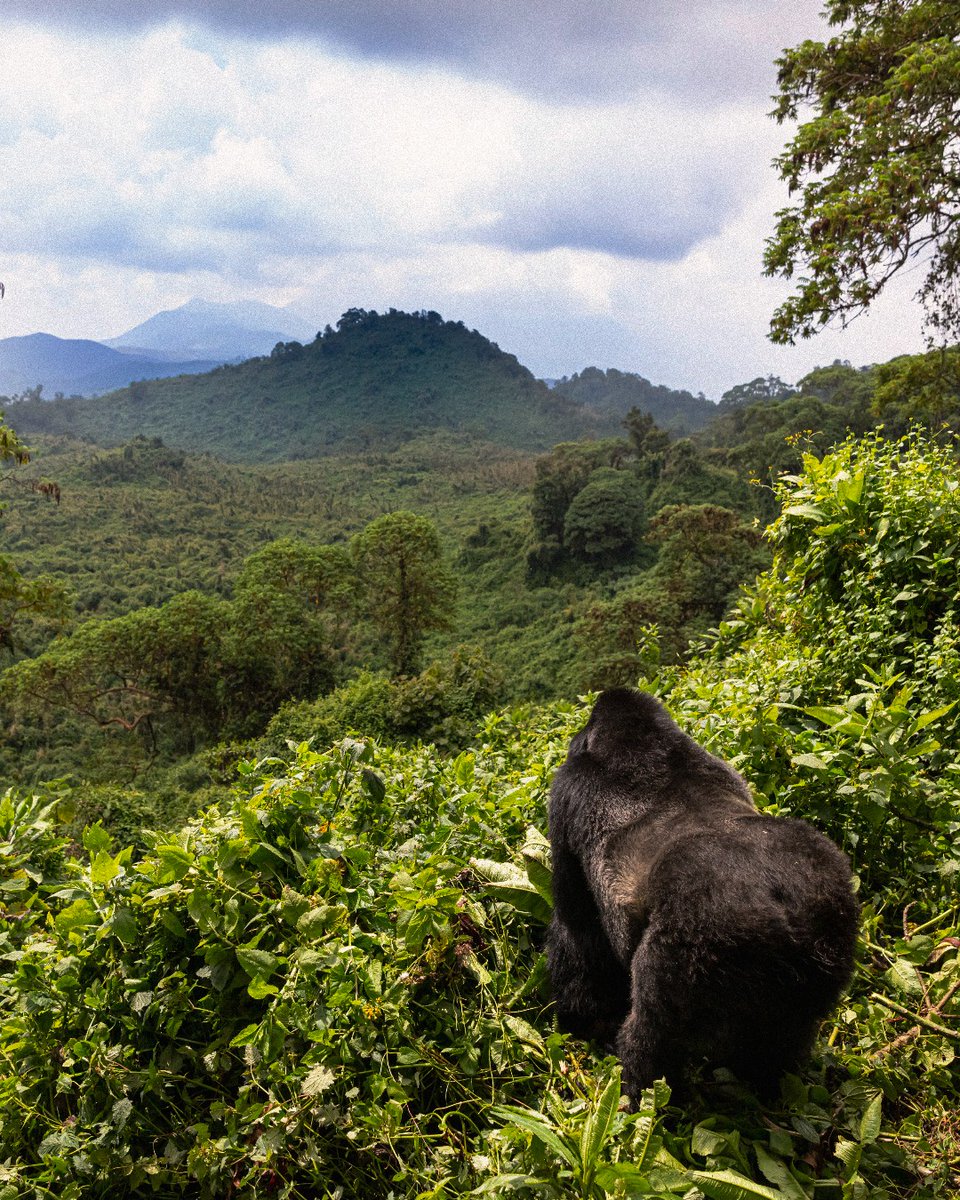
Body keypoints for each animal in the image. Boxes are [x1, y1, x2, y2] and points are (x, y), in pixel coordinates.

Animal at [544, 686, 859, 1099]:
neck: (642, 743)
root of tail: (786, 913)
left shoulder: (566, 791)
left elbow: (576, 928)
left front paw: (584, 1021)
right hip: (831, 927)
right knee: (782, 1040)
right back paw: (765, 1085)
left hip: (696, 942)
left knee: (653, 1037)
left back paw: (641, 1093)